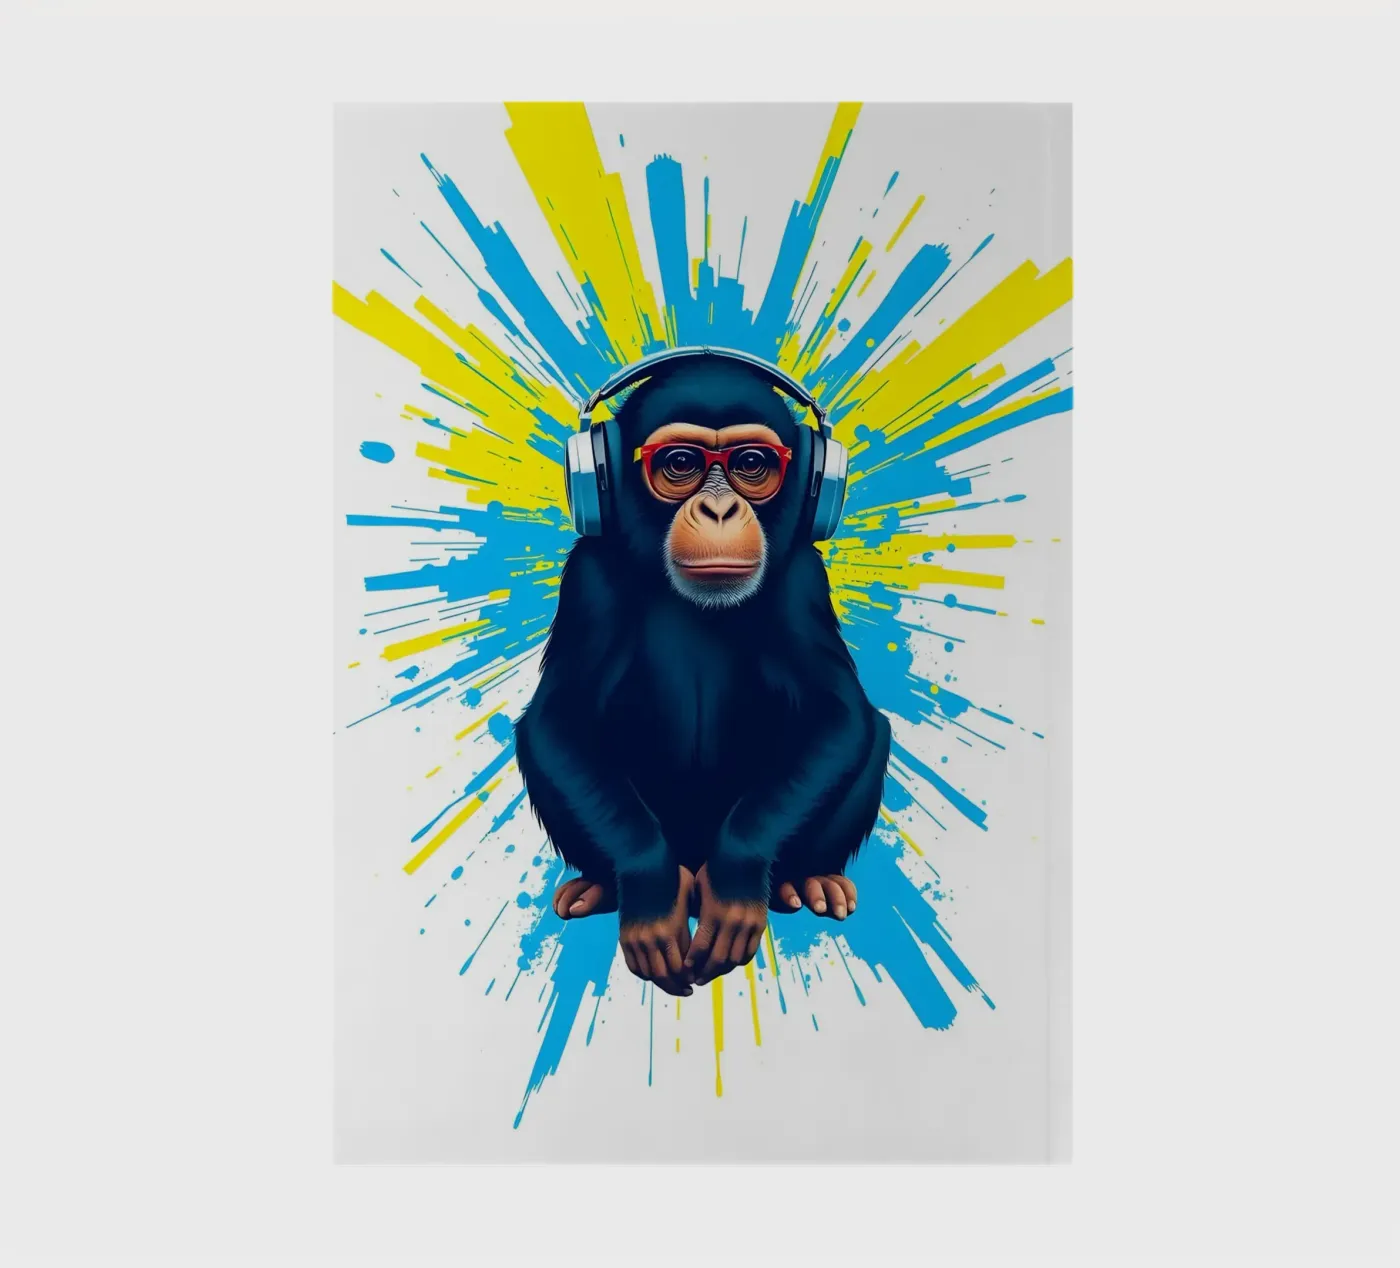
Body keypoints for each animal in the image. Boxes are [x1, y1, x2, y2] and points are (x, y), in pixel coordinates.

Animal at [514, 356, 890, 997]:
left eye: (751, 465)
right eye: (682, 464)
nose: (719, 510)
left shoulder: (804, 576)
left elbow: (837, 715)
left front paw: (737, 885)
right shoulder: (587, 573)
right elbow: (559, 720)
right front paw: (648, 897)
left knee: (877, 727)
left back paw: (805, 881)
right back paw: (607, 887)